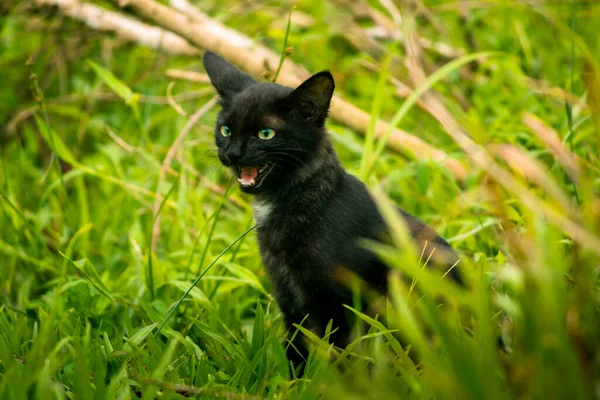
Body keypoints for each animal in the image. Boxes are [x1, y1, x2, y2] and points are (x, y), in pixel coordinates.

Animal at [203, 52, 460, 368]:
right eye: (225, 130)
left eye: (265, 133)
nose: (232, 153)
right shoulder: (287, 294)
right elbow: (295, 348)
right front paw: (290, 378)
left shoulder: (339, 302)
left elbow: (344, 357)